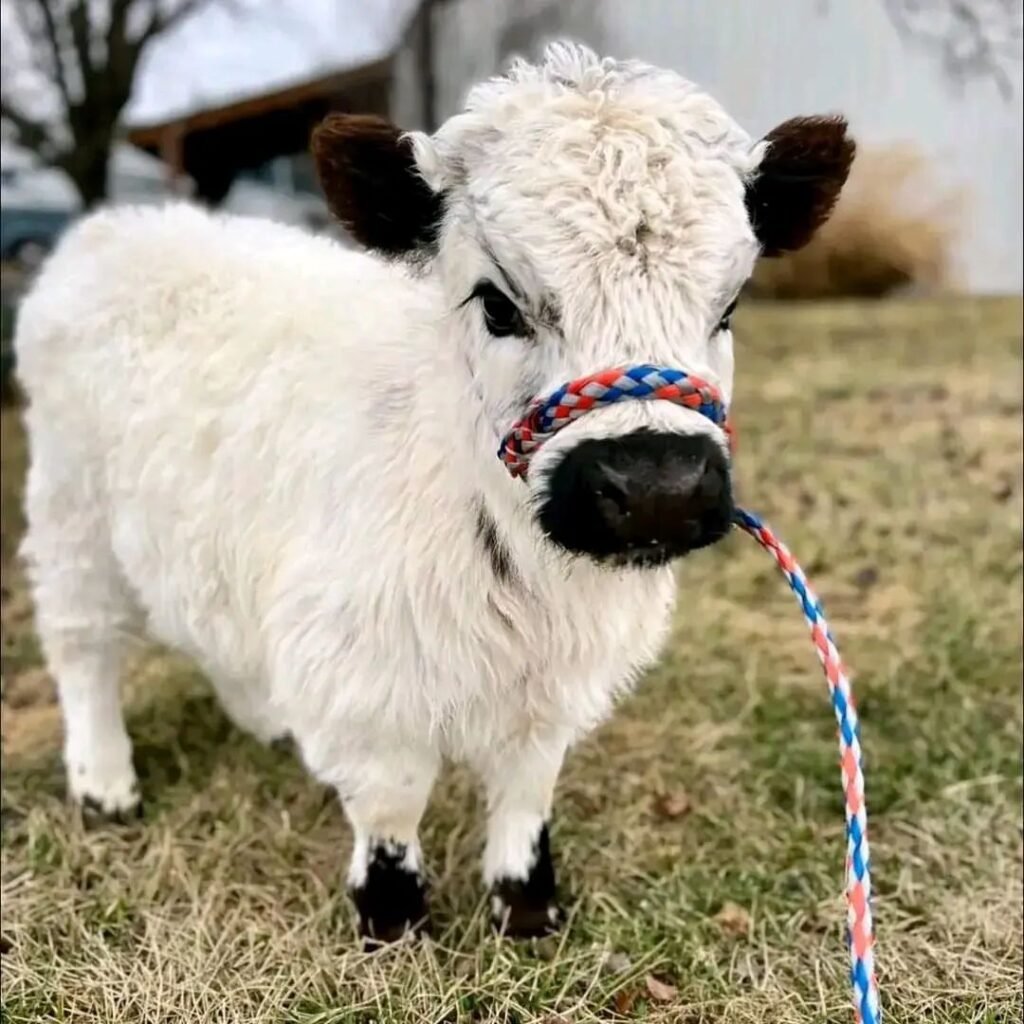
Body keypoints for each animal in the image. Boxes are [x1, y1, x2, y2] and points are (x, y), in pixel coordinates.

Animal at [16, 44, 851, 937]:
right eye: (496, 303)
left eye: (730, 305)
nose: (658, 487)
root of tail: (114, 228)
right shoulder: (363, 672)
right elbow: (392, 797)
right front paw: (391, 918)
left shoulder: (545, 693)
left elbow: (526, 787)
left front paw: (527, 907)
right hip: (70, 516)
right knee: (83, 647)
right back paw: (105, 783)